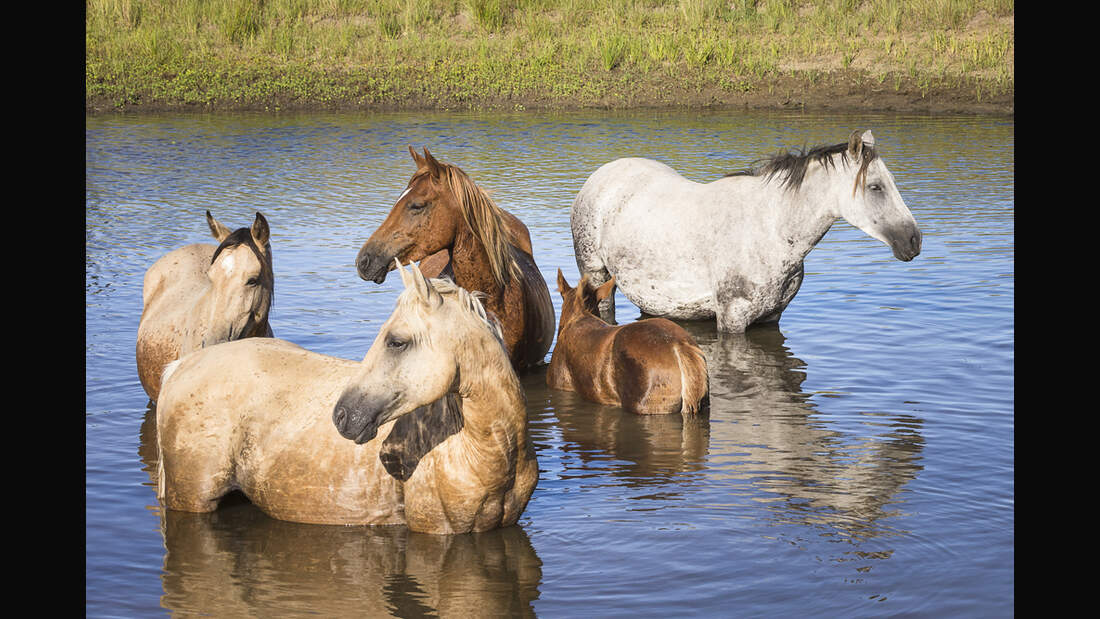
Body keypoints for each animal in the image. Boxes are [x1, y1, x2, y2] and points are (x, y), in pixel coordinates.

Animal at [572, 131, 924, 334]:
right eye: (875, 187)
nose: (914, 240)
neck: (770, 230)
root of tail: (601, 175)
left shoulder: (771, 318)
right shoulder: (732, 319)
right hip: (597, 276)